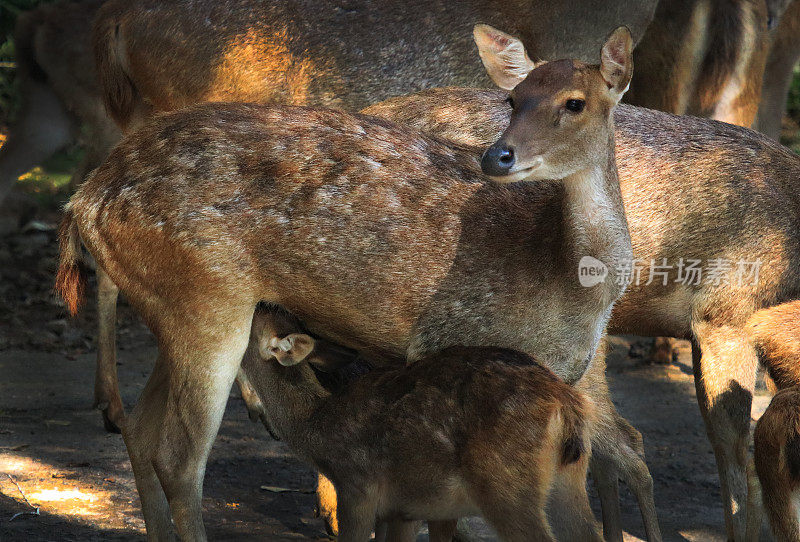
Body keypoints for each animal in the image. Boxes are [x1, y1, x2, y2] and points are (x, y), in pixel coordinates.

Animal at [244, 306, 600, 542]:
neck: (320, 429)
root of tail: (568, 404)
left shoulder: (358, 487)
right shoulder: (405, 508)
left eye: (252, 319)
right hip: (570, 479)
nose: (262, 302)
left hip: (507, 485)